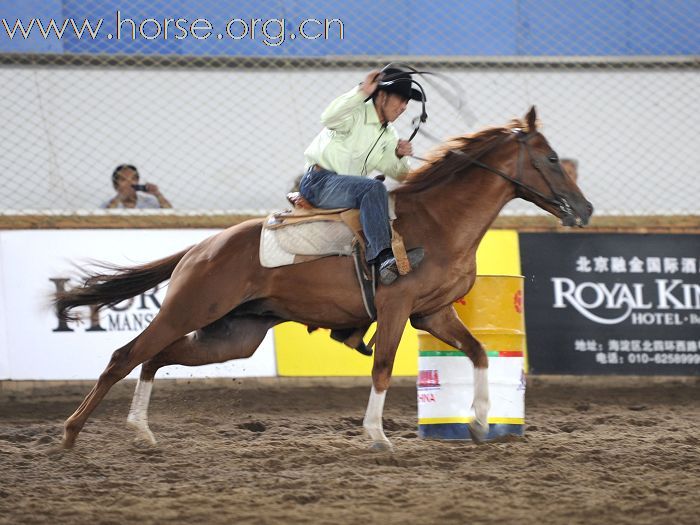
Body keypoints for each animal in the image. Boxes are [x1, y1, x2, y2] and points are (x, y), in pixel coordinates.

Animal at [53, 107, 592, 450]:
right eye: (549, 158)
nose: (584, 209)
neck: (438, 222)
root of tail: (201, 248)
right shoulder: (396, 308)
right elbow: (382, 367)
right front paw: (377, 435)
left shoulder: (433, 313)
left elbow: (480, 353)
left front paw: (480, 423)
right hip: (187, 309)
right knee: (125, 356)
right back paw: (72, 432)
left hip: (233, 335)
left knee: (156, 358)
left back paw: (141, 430)